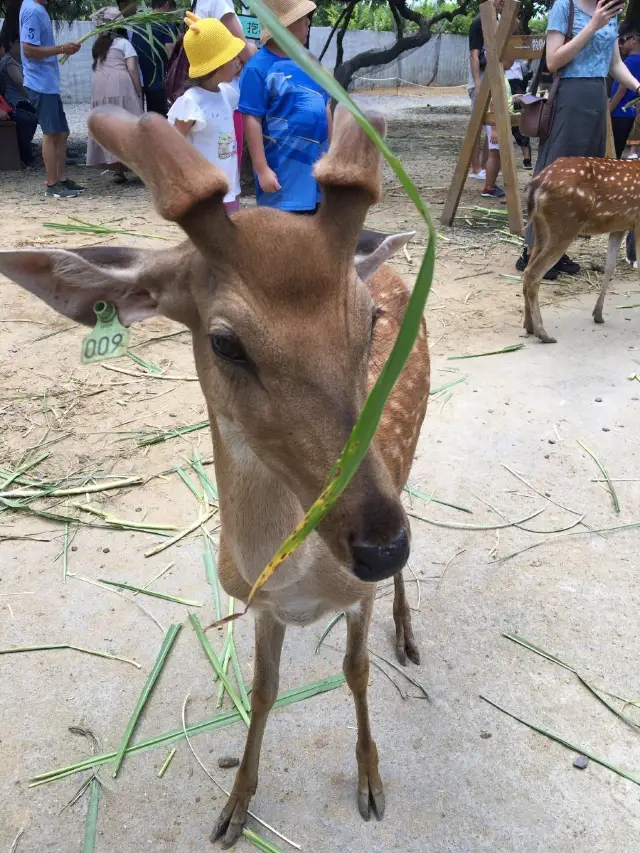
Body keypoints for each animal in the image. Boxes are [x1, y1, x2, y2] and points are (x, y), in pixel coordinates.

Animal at [1, 105, 430, 844]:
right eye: (226, 341)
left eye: (369, 319)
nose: (381, 546)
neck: (298, 580)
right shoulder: (259, 604)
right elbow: (261, 690)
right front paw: (235, 807)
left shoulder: (356, 593)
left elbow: (356, 670)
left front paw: (372, 782)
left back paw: (406, 632)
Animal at [524, 155, 640, 342]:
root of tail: (537, 184)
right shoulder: (638, 223)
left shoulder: (619, 225)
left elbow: (610, 267)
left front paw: (598, 315)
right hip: (565, 226)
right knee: (533, 273)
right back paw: (543, 333)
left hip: (541, 229)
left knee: (527, 270)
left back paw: (529, 326)